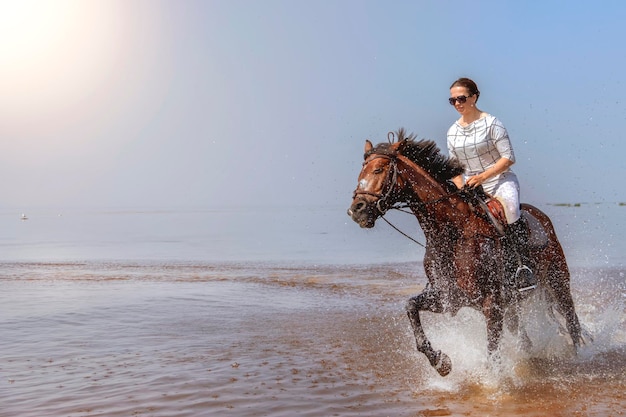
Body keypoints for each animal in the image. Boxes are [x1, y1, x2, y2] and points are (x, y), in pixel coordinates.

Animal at [346, 131, 584, 376]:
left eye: (378, 170)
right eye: (361, 170)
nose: (356, 210)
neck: (452, 234)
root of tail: (541, 217)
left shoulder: (491, 304)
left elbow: (492, 353)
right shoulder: (449, 297)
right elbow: (411, 306)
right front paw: (441, 362)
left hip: (557, 282)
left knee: (571, 322)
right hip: (513, 304)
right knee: (523, 336)